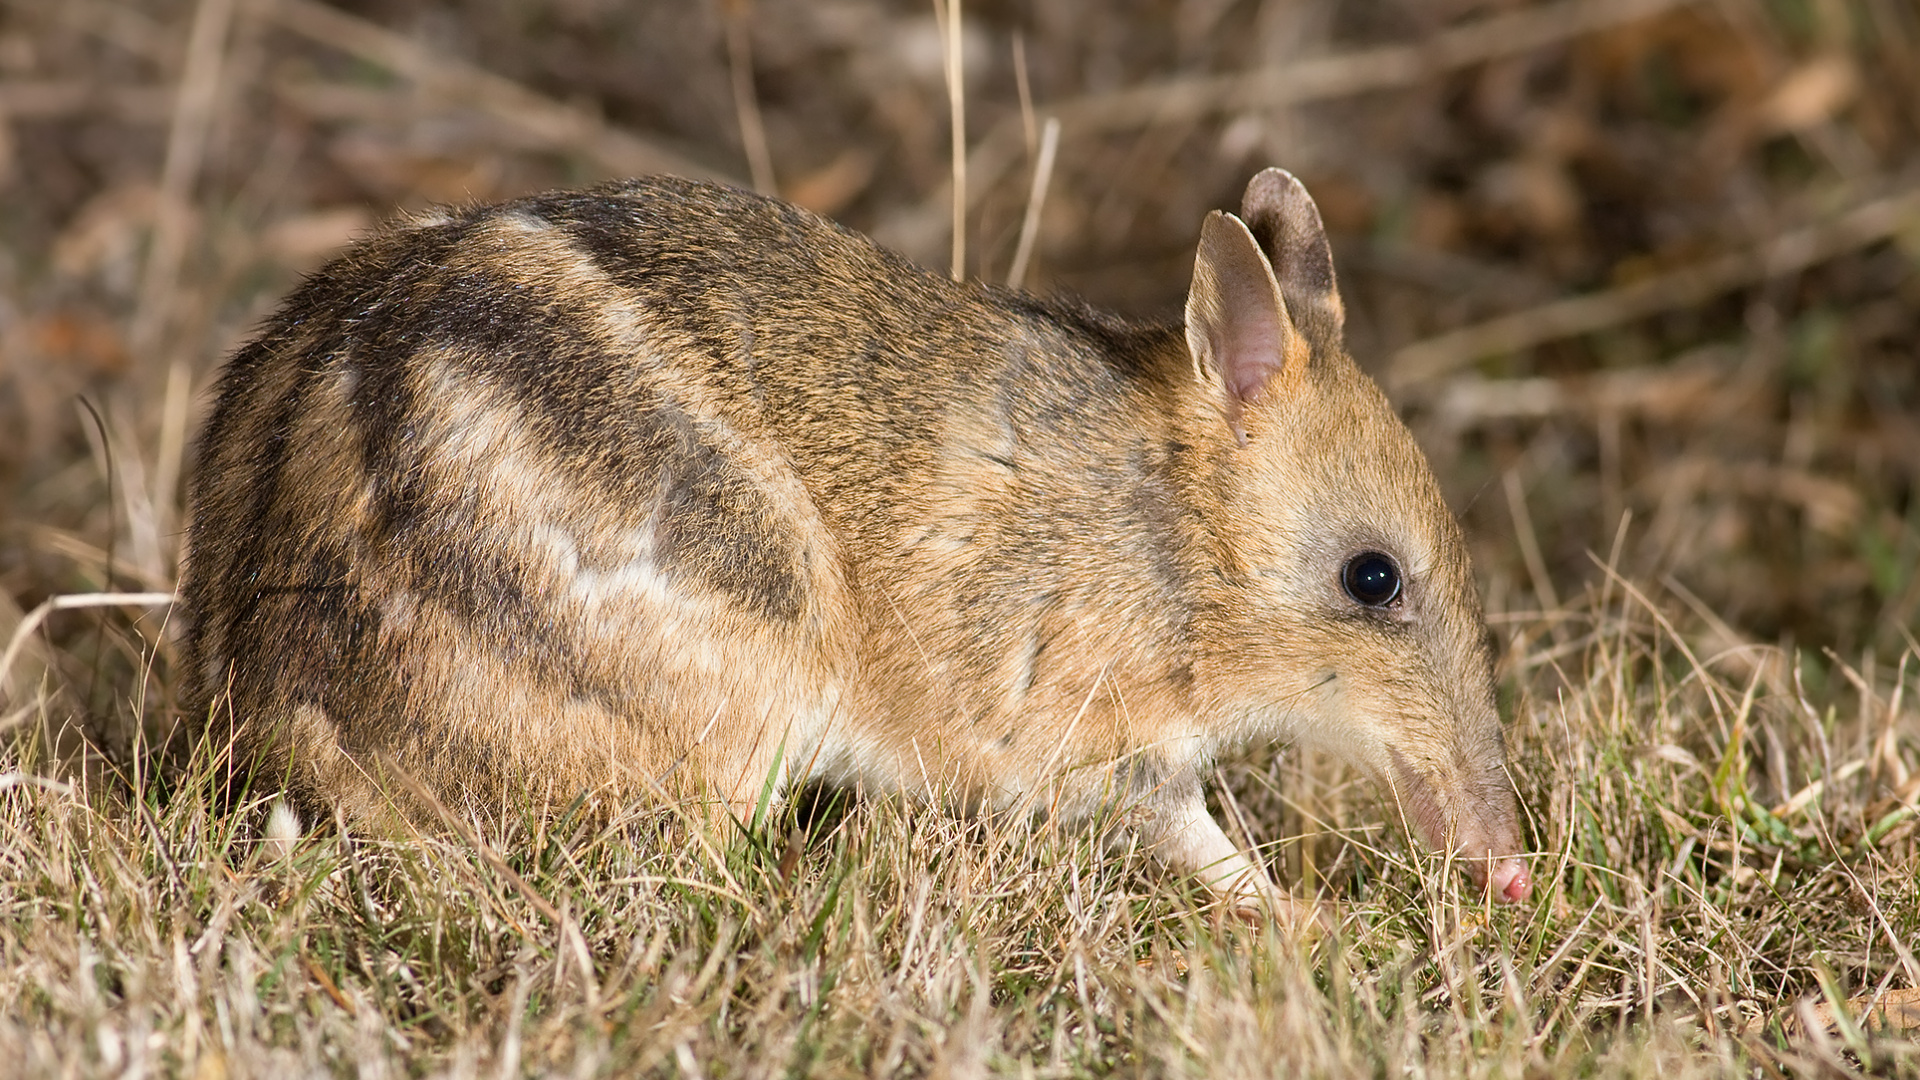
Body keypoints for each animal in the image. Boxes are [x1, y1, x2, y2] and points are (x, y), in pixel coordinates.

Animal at [178, 168, 1532, 925]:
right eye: (1373, 577)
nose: (1509, 874)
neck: (1161, 536)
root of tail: (278, 725)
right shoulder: (1089, 743)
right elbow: (1202, 840)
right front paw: (1313, 926)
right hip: (731, 717)